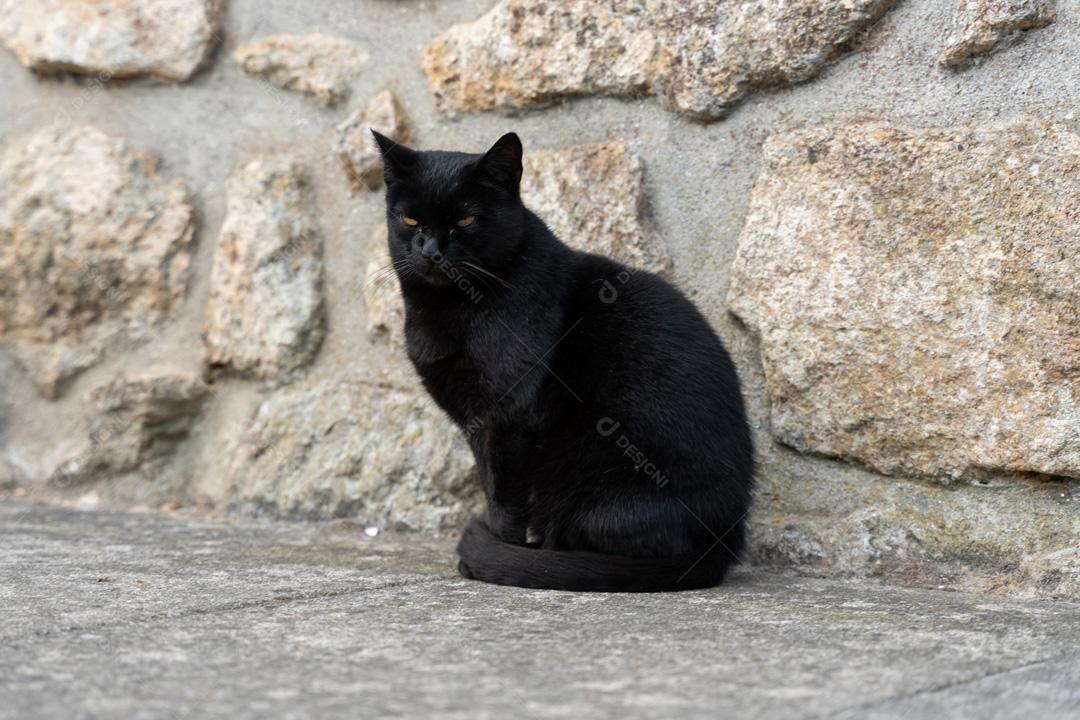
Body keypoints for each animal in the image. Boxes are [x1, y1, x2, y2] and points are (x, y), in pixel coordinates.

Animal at [371, 129, 751, 591]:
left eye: (465, 221)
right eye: (410, 221)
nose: (431, 251)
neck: (449, 308)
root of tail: (720, 548)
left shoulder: (509, 416)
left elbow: (503, 498)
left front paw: (494, 552)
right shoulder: (478, 423)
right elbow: (490, 485)